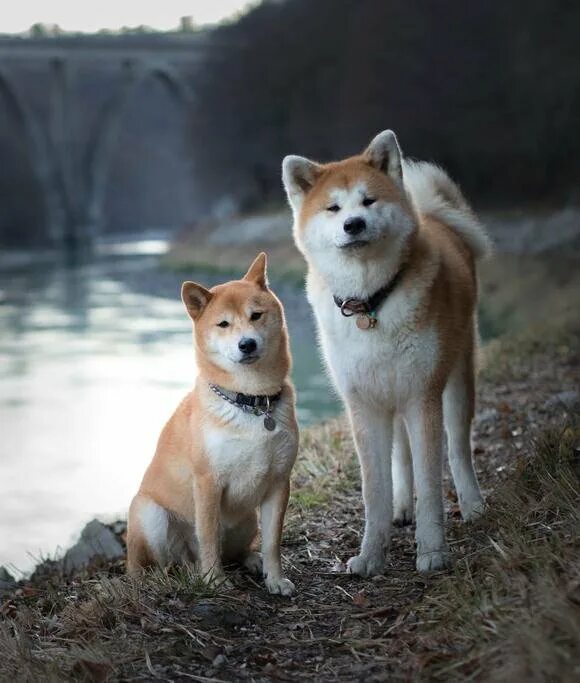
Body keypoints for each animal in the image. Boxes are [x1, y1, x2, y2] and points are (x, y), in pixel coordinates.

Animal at [127, 254, 300, 596]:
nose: (247, 344)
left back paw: (251, 561)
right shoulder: (208, 482)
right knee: (161, 564)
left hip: (246, 520)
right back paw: (179, 575)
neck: (251, 402)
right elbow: (207, 537)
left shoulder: (278, 482)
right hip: (150, 515)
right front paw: (214, 581)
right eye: (223, 324)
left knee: (237, 551)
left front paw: (275, 579)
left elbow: (273, 542)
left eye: (256, 315)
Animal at [284, 131, 492, 576]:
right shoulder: (364, 405)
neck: (371, 301)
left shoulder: (422, 397)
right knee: (402, 456)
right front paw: (371, 555)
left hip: (456, 381)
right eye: (333, 208)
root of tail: (439, 217)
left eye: (368, 201)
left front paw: (432, 551)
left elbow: (431, 485)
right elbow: (374, 489)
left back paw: (472, 504)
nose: (353, 224)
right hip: (388, 393)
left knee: (458, 450)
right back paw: (401, 508)